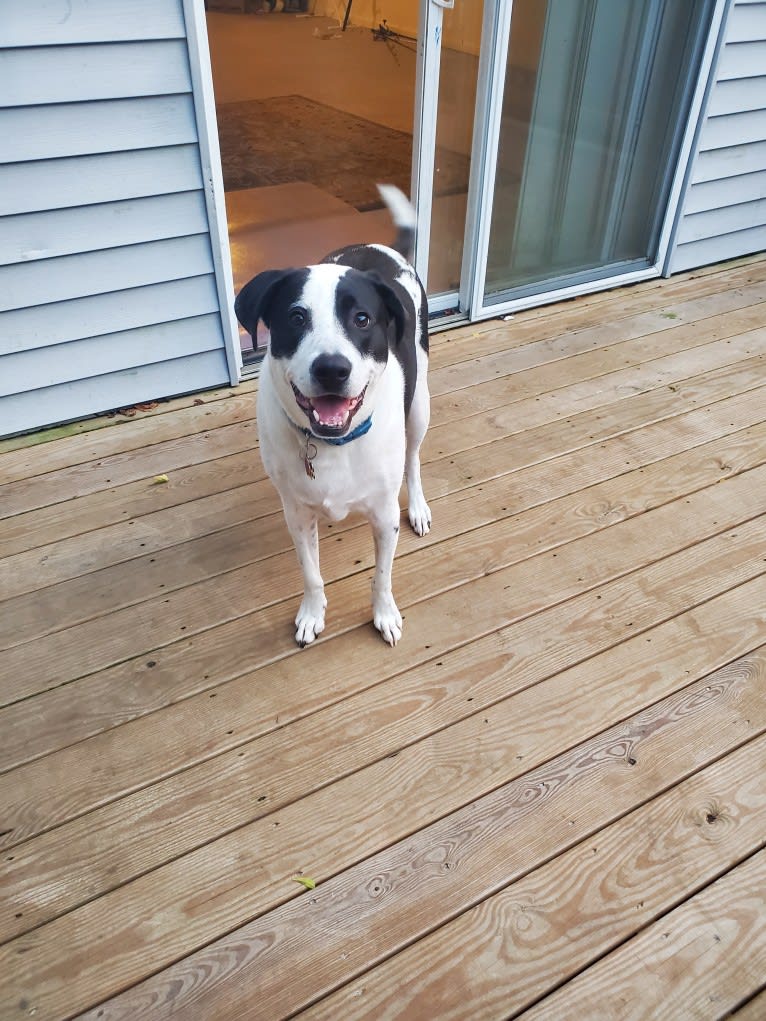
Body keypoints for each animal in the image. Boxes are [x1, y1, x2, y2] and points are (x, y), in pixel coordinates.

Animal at [236, 183, 433, 645]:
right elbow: (311, 574)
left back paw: (417, 505)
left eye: (362, 319)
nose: (331, 369)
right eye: (295, 317)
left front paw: (384, 614)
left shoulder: (383, 515)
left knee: (414, 459)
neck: (333, 442)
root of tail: (380, 247)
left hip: (419, 406)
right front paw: (312, 614)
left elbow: (381, 576)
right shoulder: (296, 513)